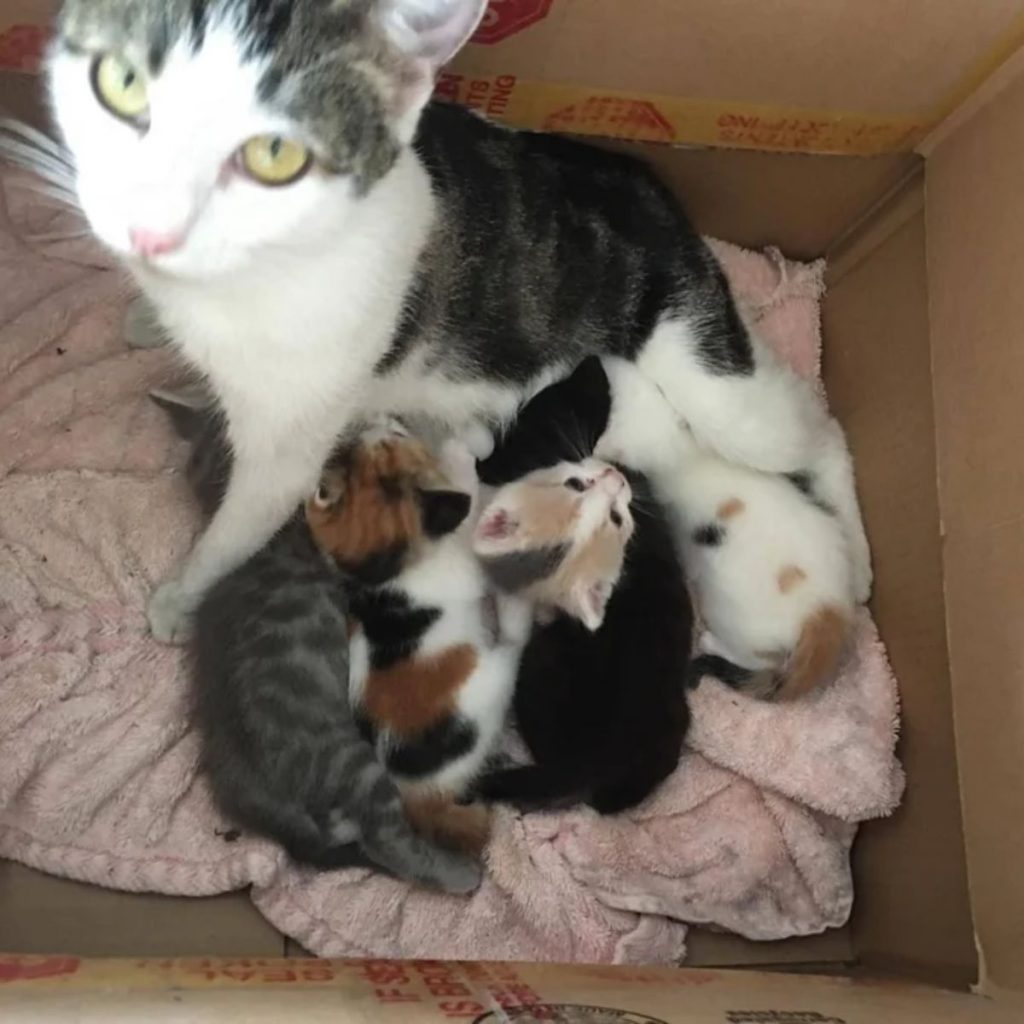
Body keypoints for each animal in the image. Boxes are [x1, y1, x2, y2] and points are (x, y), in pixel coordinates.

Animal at [303, 415, 528, 839]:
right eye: (397, 438)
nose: (385, 419)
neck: (390, 572)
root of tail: (420, 793)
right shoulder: (467, 553)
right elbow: (466, 491)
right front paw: (461, 449)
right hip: (494, 676)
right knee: (514, 641)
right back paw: (518, 608)